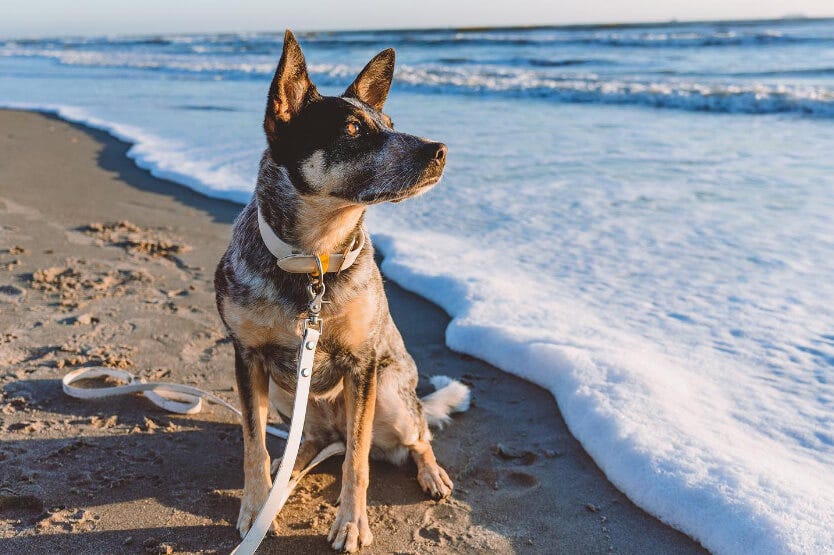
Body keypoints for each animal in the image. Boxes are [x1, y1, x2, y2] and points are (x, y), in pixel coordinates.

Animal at [213, 31, 468, 555]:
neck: (313, 260)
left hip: (390, 393)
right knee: (304, 444)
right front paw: (255, 507)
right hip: (289, 396)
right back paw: (290, 470)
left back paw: (431, 472)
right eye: (352, 129)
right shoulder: (247, 357)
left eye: (390, 125)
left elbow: (359, 461)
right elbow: (253, 443)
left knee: (413, 435)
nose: (441, 150)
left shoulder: (362, 364)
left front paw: (351, 523)